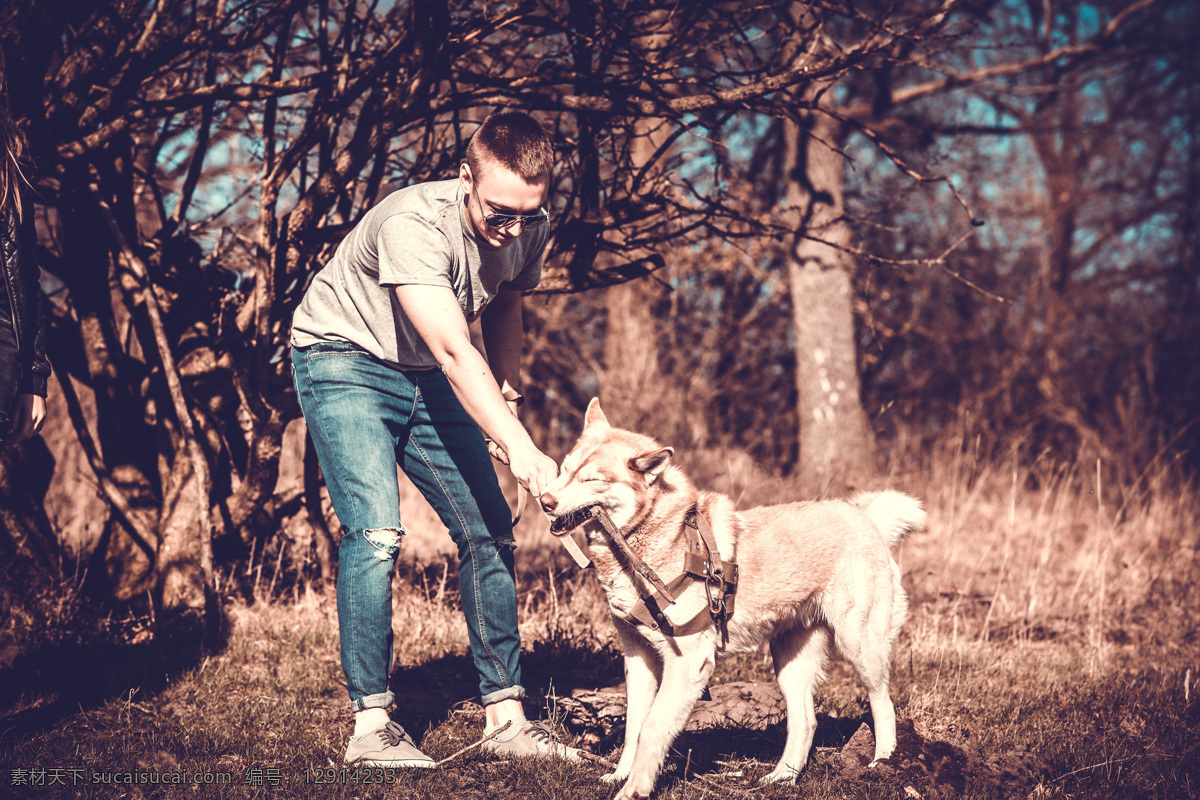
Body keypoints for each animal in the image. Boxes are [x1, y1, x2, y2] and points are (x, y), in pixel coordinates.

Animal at [540, 400, 921, 800]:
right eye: (564, 470)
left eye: (591, 480)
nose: (544, 501)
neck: (652, 539)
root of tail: (867, 519)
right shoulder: (638, 658)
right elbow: (633, 727)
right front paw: (620, 775)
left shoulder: (689, 662)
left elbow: (652, 728)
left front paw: (635, 790)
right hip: (790, 662)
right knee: (806, 721)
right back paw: (781, 778)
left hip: (859, 645)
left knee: (883, 704)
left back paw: (882, 764)